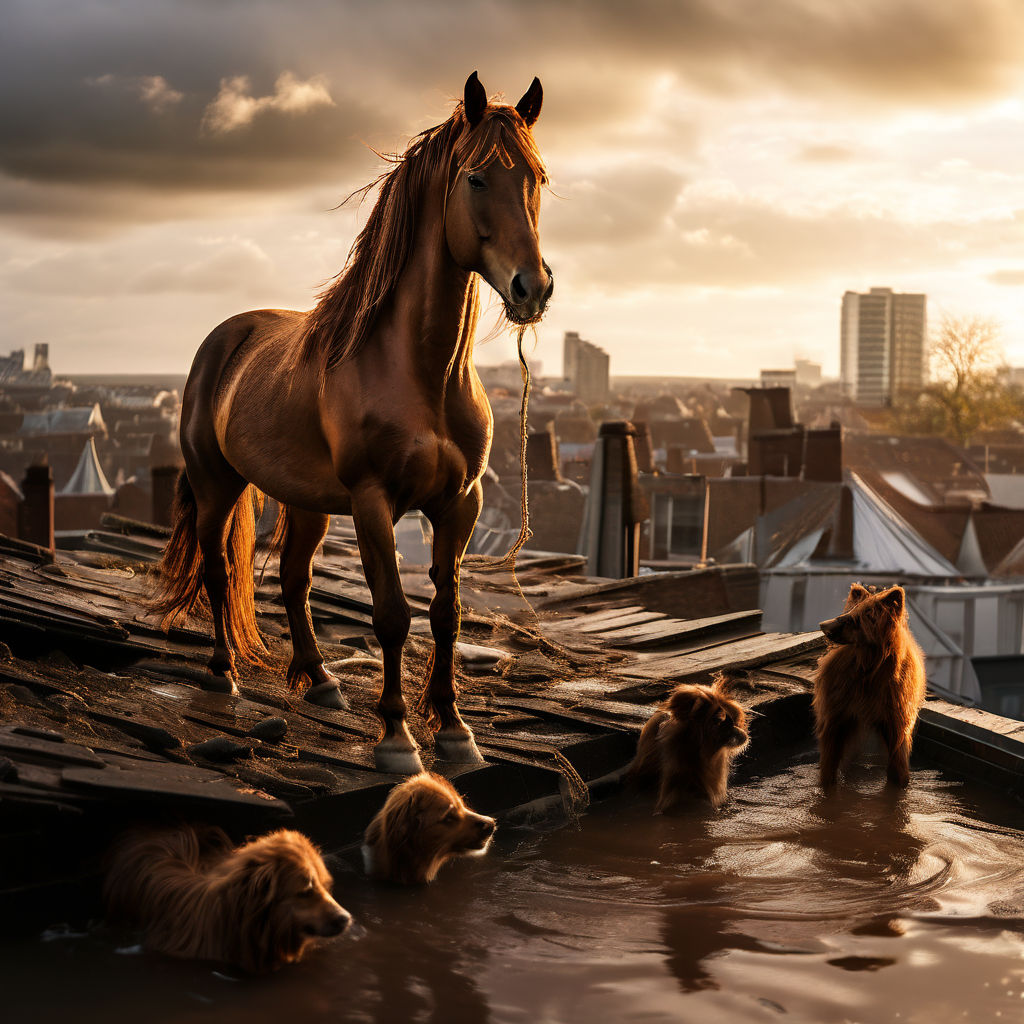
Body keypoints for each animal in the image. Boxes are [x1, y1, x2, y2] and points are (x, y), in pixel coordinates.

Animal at [155, 74, 552, 774]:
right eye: (477, 178)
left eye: (537, 178)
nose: (533, 287)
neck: (421, 371)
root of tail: (223, 339)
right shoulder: (373, 500)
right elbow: (392, 614)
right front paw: (396, 739)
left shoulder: (462, 503)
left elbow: (446, 615)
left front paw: (455, 731)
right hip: (215, 486)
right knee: (218, 569)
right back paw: (224, 672)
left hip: (308, 501)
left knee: (295, 579)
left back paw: (321, 681)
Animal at [815, 585, 929, 790]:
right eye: (847, 613)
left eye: (853, 619)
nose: (822, 625)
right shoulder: (837, 716)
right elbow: (830, 758)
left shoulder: (895, 719)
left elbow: (899, 764)